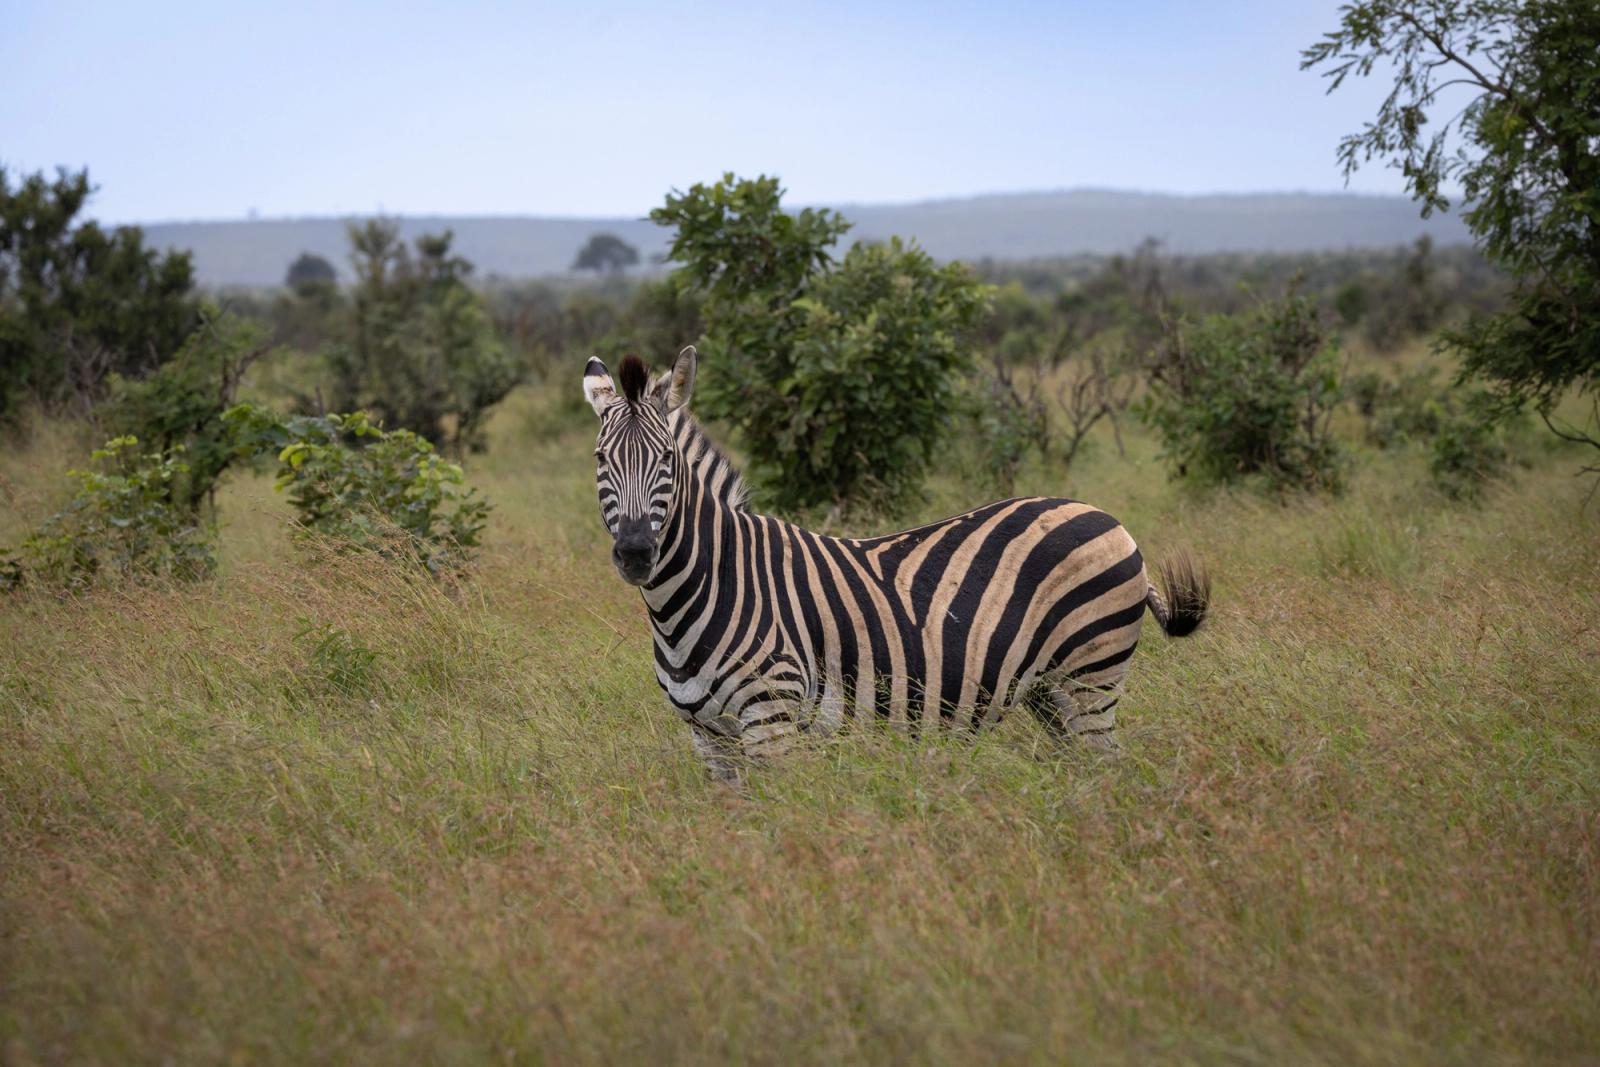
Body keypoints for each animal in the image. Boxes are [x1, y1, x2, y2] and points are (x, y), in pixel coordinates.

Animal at [585, 346, 1209, 777]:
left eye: (667, 459)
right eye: (599, 459)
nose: (636, 553)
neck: (704, 591)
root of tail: (1106, 516)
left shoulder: (772, 719)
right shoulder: (708, 736)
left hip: (1090, 677)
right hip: (1049, 692)